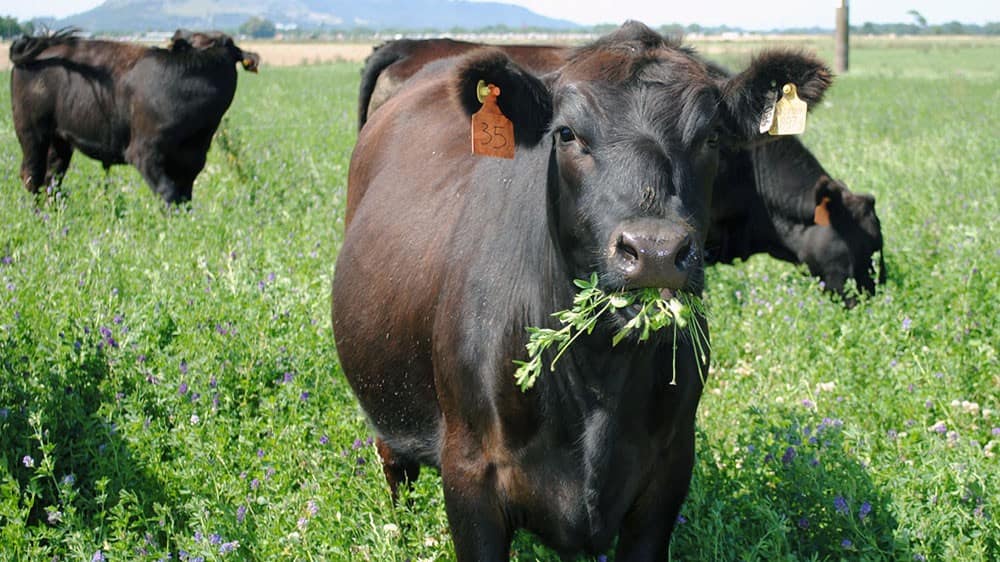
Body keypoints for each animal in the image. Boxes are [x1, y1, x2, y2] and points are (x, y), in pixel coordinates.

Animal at [8, 28, 258, 203]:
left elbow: (184, 200)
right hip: (31, 132)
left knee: (51, 179)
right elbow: (168, 194)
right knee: (32, 176)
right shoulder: (144, 152)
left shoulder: (191, 163)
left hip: (59, 140)